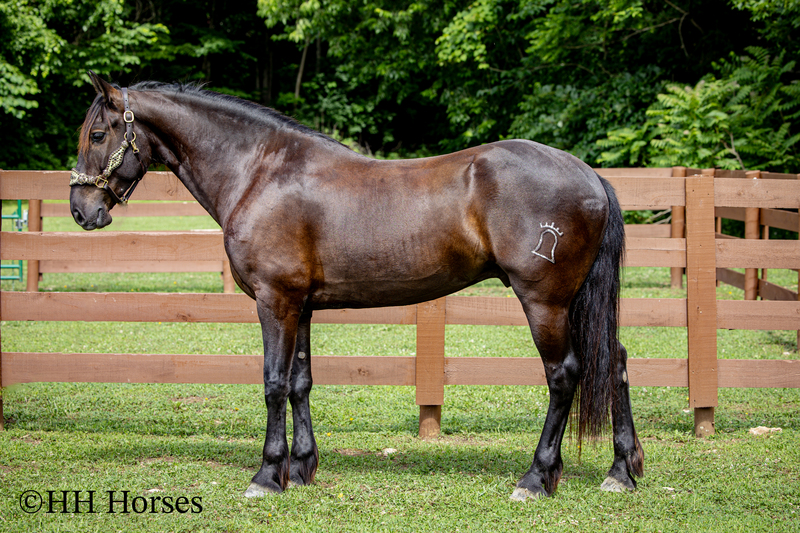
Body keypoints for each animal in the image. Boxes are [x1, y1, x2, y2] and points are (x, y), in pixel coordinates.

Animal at [70, 72, 643, 500]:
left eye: (97, 135)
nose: (81, 210)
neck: (260, 172)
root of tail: (590, 175)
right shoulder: (299, 306)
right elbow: (300, 383)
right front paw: (301, 468)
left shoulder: (274, 302)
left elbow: (273, 382)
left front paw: (266, 475)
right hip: (575, 302)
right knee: (614, 361)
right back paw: (621, 470)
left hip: (544, 301)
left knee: (563, 375)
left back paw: (536, 478)